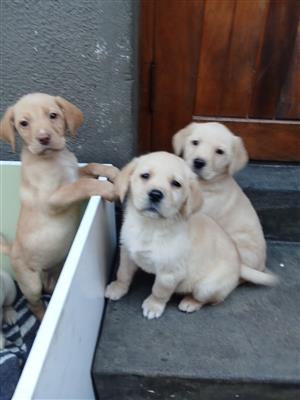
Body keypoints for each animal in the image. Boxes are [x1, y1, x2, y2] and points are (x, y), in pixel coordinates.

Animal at [0, 93, 119, 318]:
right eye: (24, 123)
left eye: (53, 115)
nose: (44, 138)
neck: (55, 157)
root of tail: (12, 249)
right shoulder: (53, 199)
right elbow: (83, 185)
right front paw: (110, 189)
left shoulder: (76, 173)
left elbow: (90, 167)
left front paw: (113, 172)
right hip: (30, 283)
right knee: (34, 303)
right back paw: (42, 316)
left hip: (52, 271)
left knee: (48, 288)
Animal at [105, 152, 241, 320]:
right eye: (145, 175)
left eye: (176, 184)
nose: (155, 194)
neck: (150, 226)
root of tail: (240, 268)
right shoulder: (127, 253)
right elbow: (122, 273)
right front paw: (117, 288)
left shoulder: (169, 273)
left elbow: (159, 291)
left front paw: (153, 306)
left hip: (206, 287)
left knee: (212, 299)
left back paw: (190, 302)